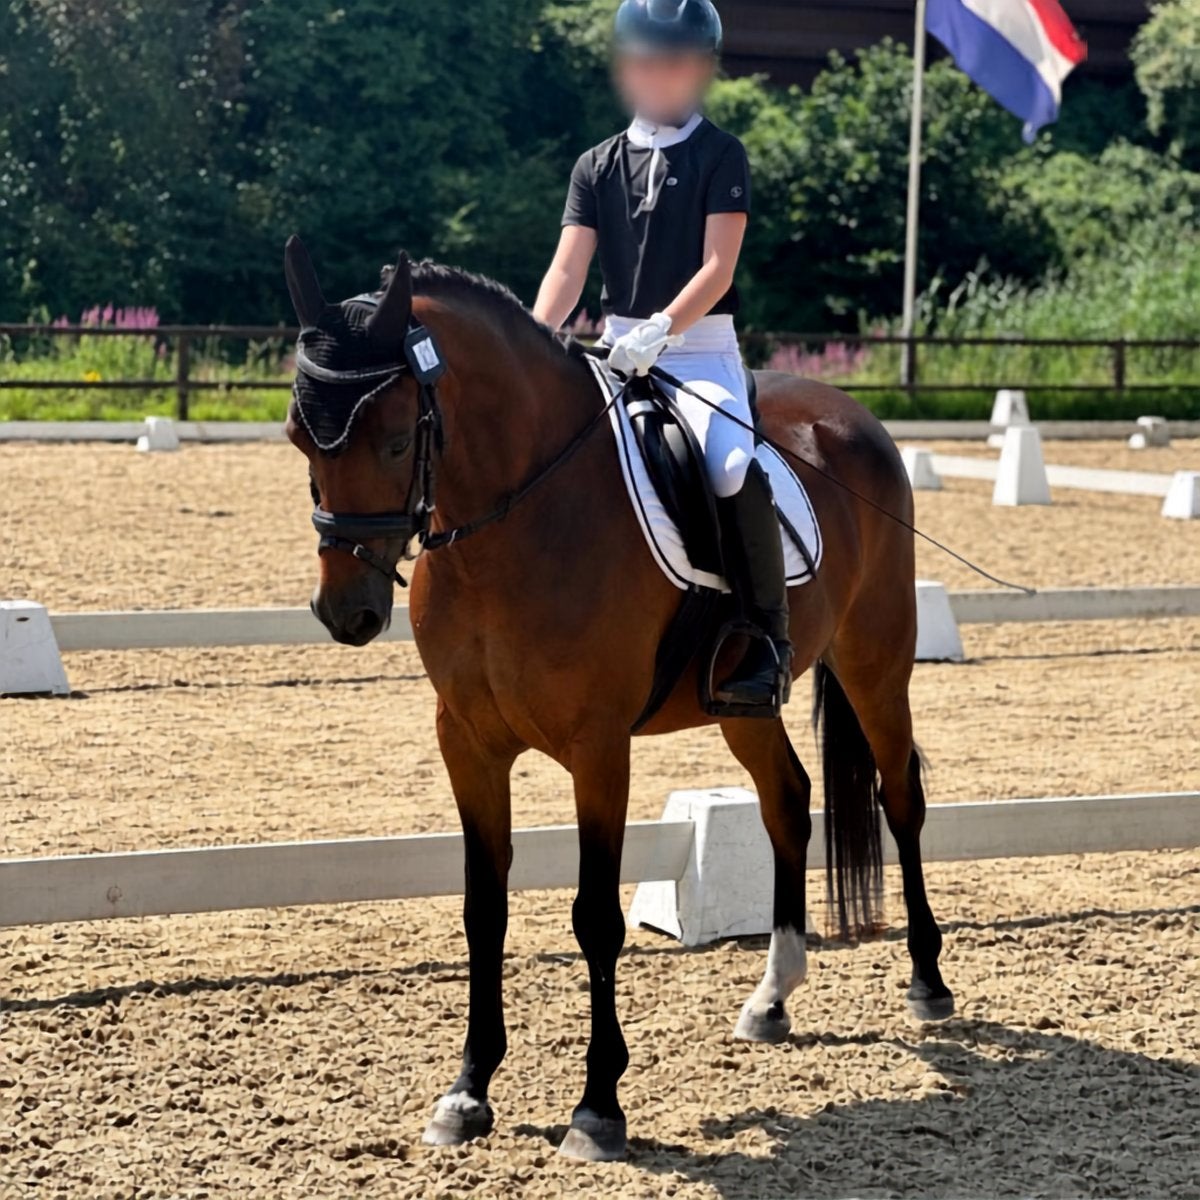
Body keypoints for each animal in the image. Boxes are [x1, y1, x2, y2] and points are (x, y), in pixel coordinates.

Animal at [283, 237, 954, 1163]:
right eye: (299, 439)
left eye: (391, 441)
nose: (346, 613)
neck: (511, 523)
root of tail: (849, 415)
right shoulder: (468, 742)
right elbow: (483, 909)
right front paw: (467, 1091)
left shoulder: (598, 748)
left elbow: (595, 915)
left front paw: (598, 1107)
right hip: (741, 702)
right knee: (787, 800)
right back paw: (771, 998)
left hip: (876, 660)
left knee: (901, 798)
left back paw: (928, 982)